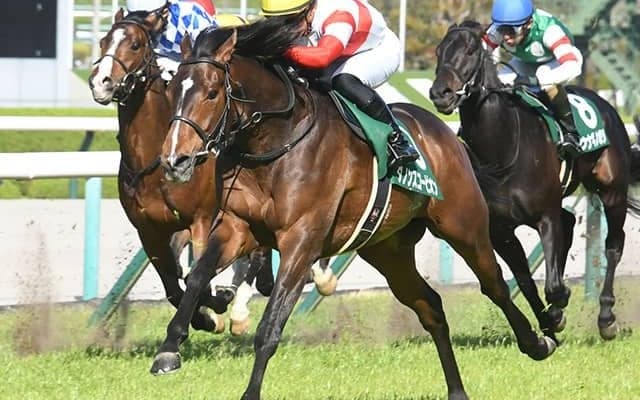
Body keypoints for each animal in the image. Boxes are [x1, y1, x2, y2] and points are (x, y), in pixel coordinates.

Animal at [148, 19, 556, 400]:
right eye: (172, 90)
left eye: (212, 93)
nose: (175, 160)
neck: (274, 143)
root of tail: (442, 132)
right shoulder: (236, 228)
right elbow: (197, 277)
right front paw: (169, 349)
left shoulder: (301, 242)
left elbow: (269, 328)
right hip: (388, 250)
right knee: (431, 307)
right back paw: (457, 389)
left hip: (464, 226)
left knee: (495, 284)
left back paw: (540, 340)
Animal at [429, 20, 640, 340]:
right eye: (439, 51)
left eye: (471, 49)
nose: (440, 92)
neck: (502, 148)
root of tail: (607, 105)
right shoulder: (500, 229)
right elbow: (526, 281)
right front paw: (549, 319)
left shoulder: (545, 216)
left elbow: (553, 286)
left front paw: (559, 306)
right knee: (569, 222)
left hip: (612, 190)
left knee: (613, 245)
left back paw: (606, 317)